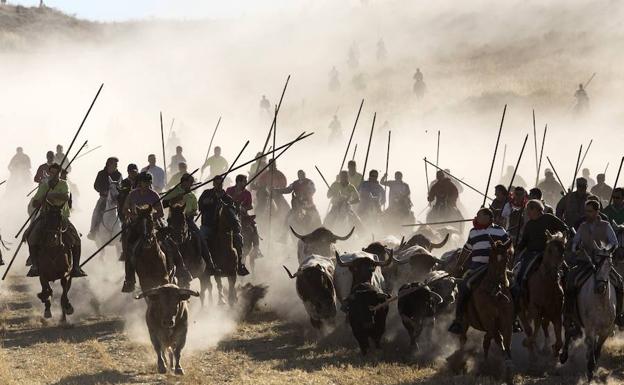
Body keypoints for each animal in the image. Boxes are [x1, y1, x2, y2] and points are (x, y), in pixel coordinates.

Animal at [456, 237, 516, 380]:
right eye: (492, 258)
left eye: (506, 258)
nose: (501, 282)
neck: (495, 293)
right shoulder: (489, 320)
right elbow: (499, 339)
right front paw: (507, 364)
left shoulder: (506, 321)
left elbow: (507, 341)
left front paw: (509, 367)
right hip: (465, 321)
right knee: (463, 338)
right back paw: (460, 362)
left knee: (486, 340)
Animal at [516, 230, 564, 358]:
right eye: (549, 250)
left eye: (563, 249)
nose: (554, 271)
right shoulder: (536, 308)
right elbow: (535, 330)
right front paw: (528, 343)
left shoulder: (556, 312)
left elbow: (559, 341)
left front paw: (554, 349)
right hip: (522, 309)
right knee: (528, 327)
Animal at [560, 244, 616, 380]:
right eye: (596, 263)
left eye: (610, 265)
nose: (600, 287)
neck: (601, 304)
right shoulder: (591, 329)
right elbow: (591, 348)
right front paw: (590, 371)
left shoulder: (606, 330)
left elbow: (598, 349)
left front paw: (592, 367)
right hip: (568, 314)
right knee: (568, 332)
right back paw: (563, 356)